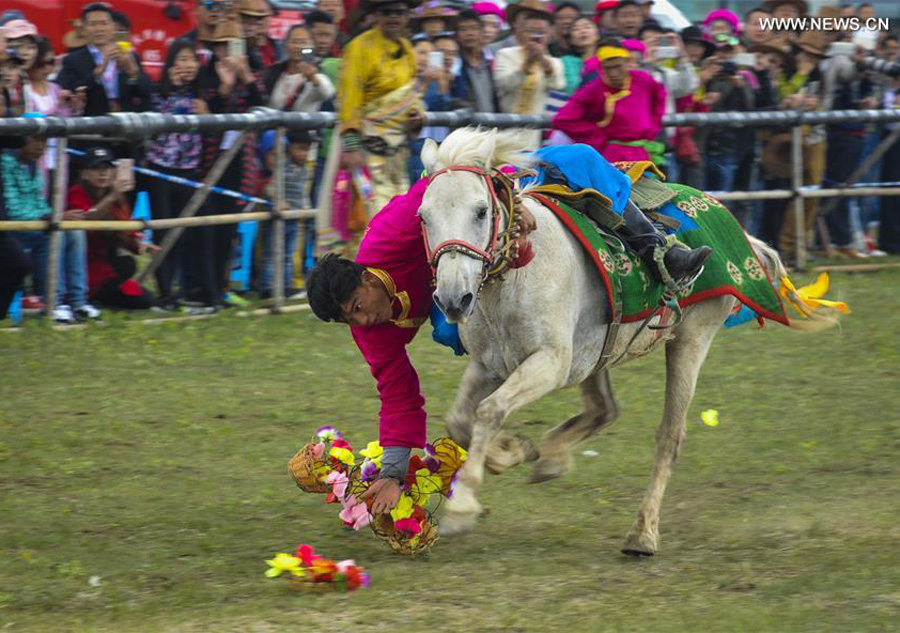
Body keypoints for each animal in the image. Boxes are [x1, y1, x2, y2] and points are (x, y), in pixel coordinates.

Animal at [417, 127, 841, 556]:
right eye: (424, 216)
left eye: (480, 211)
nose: (453, 299)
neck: (521, 271)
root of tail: (740, 231)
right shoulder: (489, 364)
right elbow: (461, 418)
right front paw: (512, 451)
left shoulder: (550, 362)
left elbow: (488, 411)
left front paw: (463, 506)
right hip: (597, 353)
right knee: (605, 409)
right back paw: (552, 457)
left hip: (690, 339)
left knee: (669, 436)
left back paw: (642, 533)